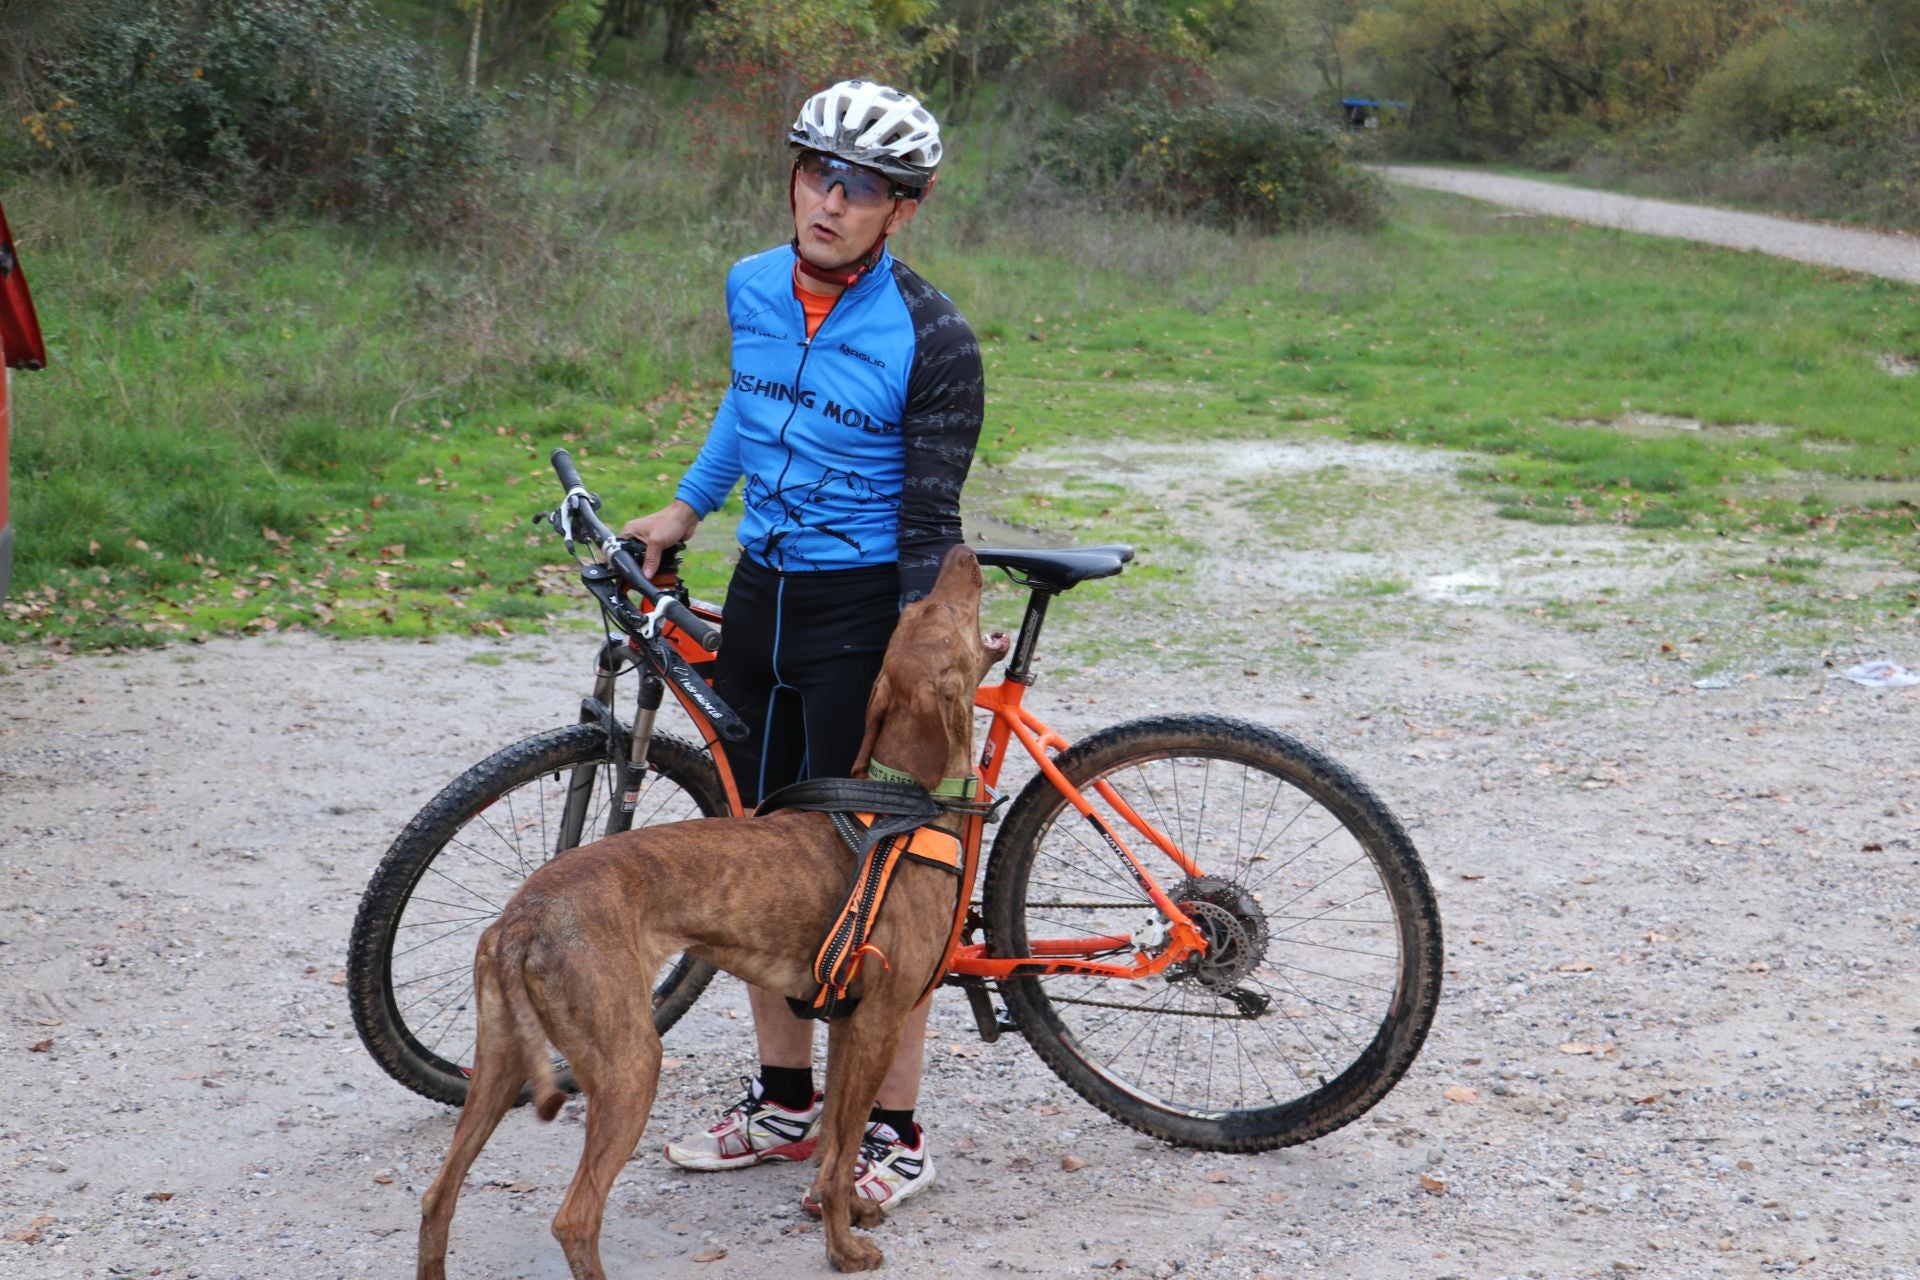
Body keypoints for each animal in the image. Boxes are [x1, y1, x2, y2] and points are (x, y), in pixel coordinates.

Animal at [414, 545, 1013, 1274]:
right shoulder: (880, 1020)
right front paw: (844, 1248)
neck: (899, 809)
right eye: (943, 608)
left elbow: (835, 1150)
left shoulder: (848, 1020)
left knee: (438, 1196)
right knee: (574, 1218)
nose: (963, 551)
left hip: (499, 1065)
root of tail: (521, 919)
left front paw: (847, 1210)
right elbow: (842, 1149)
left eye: (923, 609)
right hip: (630, 1064)